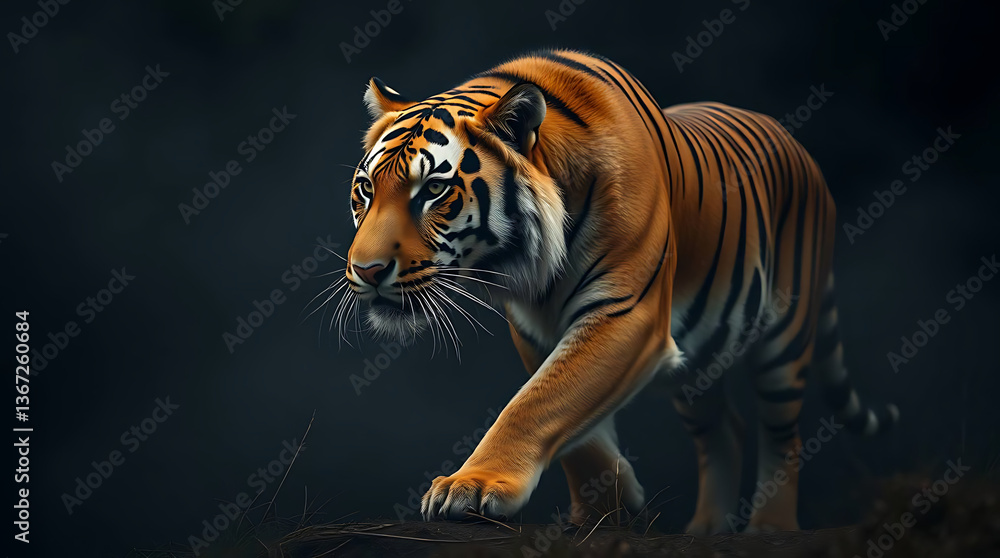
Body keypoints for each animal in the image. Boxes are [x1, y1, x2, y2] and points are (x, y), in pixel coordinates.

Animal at [336, 49, 898, 533]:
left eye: (434, 190)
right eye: (366, 189)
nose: (366, 270)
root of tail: (794, 141)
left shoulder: (627, 314)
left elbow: (536, 402)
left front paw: (471, 486)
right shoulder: (533, 329)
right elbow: (568, 421)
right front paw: (606, 509)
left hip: (784, 340)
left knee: (784, 434)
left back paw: (769, 528)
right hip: (697, 365)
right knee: (724, 429)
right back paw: (707, 527)